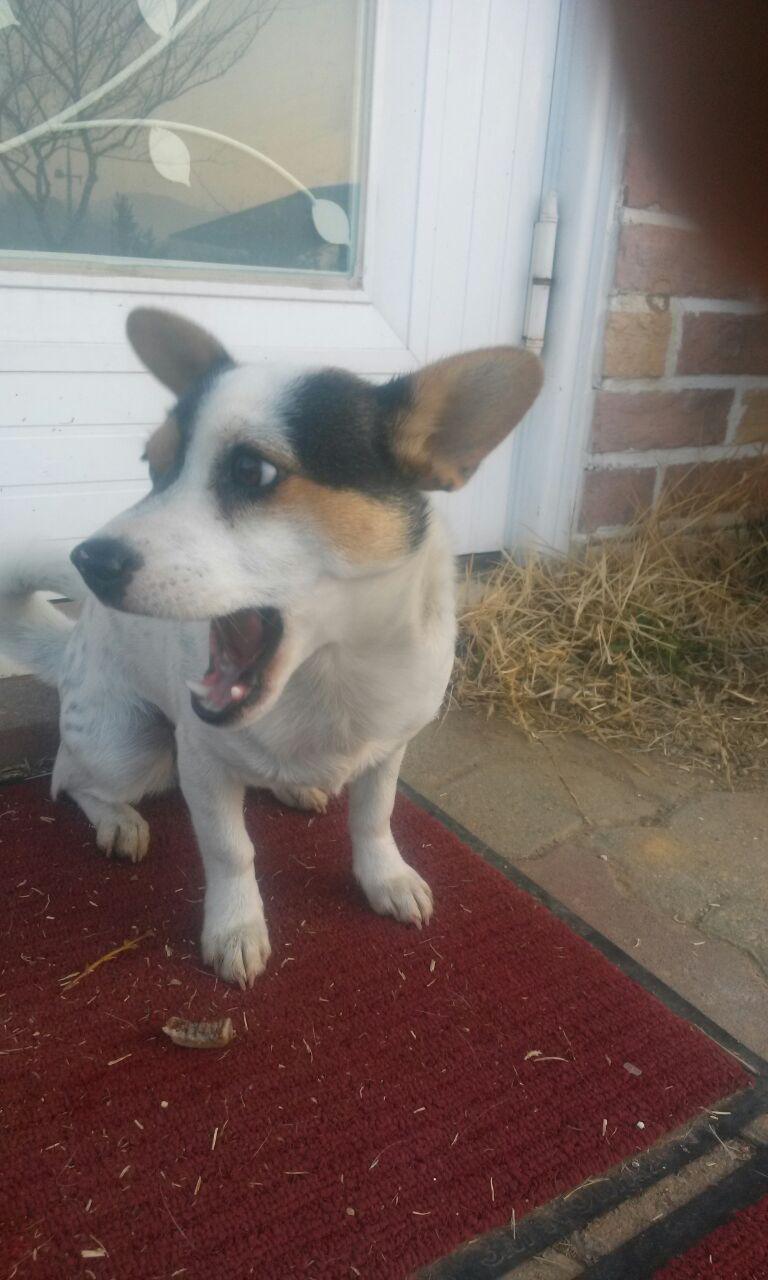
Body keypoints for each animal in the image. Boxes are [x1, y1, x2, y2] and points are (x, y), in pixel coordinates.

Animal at [0, 309, 540, 988]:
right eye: (153, 467)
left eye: (252, 471)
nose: (87, 560)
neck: (329, 670)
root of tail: (73, 643)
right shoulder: (200, 760)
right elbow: (231, 848)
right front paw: (236, 926)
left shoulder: (390, 749)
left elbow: (375, 816)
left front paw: (384, 877)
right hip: (129, 748)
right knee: (70, 778)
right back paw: (119, 820)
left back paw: (297, 787)